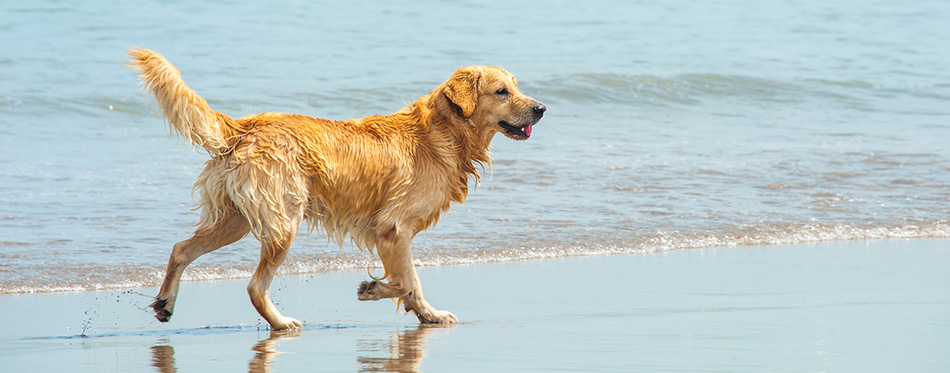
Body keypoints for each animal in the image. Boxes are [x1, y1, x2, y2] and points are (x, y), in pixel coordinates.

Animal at [128, 48, 544, 328]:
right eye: (502, 91)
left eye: (516, 86)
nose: (541, 108)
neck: (443, 133)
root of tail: (245, 126)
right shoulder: (392, 229)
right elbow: (409, 281)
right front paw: (398, 299)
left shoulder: (391, 232)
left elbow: (406, 281)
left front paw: (403, 303)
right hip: (283, 221)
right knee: (255, 287)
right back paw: (281, 323)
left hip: (236, 220)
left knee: (181, 248)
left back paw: (165, 302)